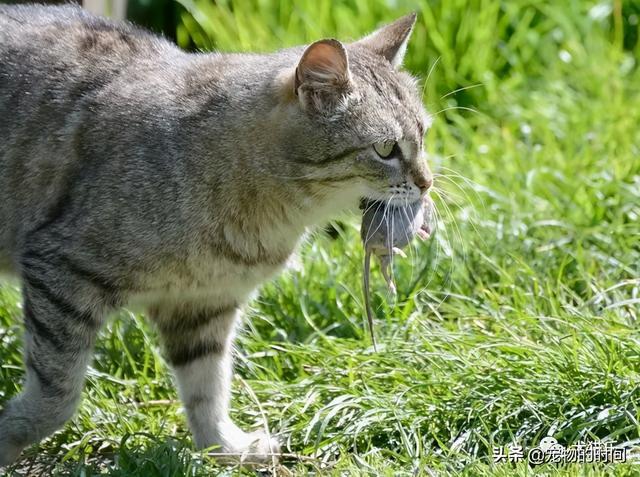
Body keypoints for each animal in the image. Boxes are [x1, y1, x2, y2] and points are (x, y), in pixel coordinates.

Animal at [0, 4, 432, 464]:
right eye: (385, 149)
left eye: (423, 136)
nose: (427, 182)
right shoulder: (63, 270)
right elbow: (56, 397)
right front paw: (10, 433)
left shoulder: (204, 304)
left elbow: (208, 387)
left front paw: (223, 446)